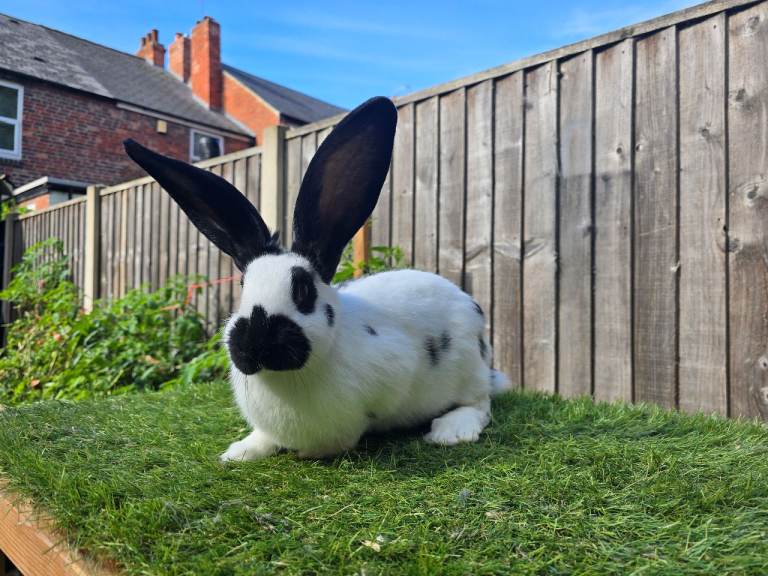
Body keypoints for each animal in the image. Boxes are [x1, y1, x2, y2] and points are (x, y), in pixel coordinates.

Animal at [124, 96, 510, 461]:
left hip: (468, 369)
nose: (255, 345)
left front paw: (313, 453)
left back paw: (451, 430)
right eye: (242, 286)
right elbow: (263, 438)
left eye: (302, 289)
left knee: (481, 403)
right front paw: (239, 453)